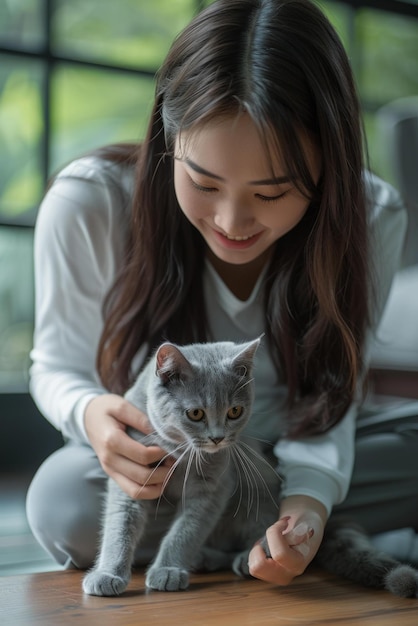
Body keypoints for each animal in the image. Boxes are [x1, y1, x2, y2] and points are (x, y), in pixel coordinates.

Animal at [83, 338, 418, 596]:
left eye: (235, 411)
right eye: (195, 413)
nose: (218, 438)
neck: (180, 451)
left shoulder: (215, 485)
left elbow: (186, 530)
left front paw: (167, 568)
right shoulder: (131, 473)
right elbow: (119, 527)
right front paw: (108, 574)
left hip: (257, 495)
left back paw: (243, 558)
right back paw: (206, 559)